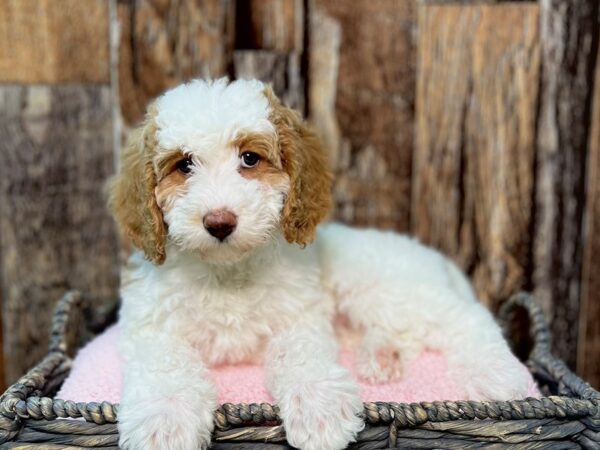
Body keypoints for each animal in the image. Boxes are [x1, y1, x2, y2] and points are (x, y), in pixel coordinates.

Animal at [109, 78, 528, 450]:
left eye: (249, 158)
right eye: (184, 165)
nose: (220, 222)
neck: (228, 271)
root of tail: (435, 257)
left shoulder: (300, 317)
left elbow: (300, 356)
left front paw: (318, 409)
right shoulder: (152, 327)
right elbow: (166, 367)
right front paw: (164, 422)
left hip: (383, 289)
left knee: (465, 319)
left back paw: (500, 375)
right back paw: (381, 359)